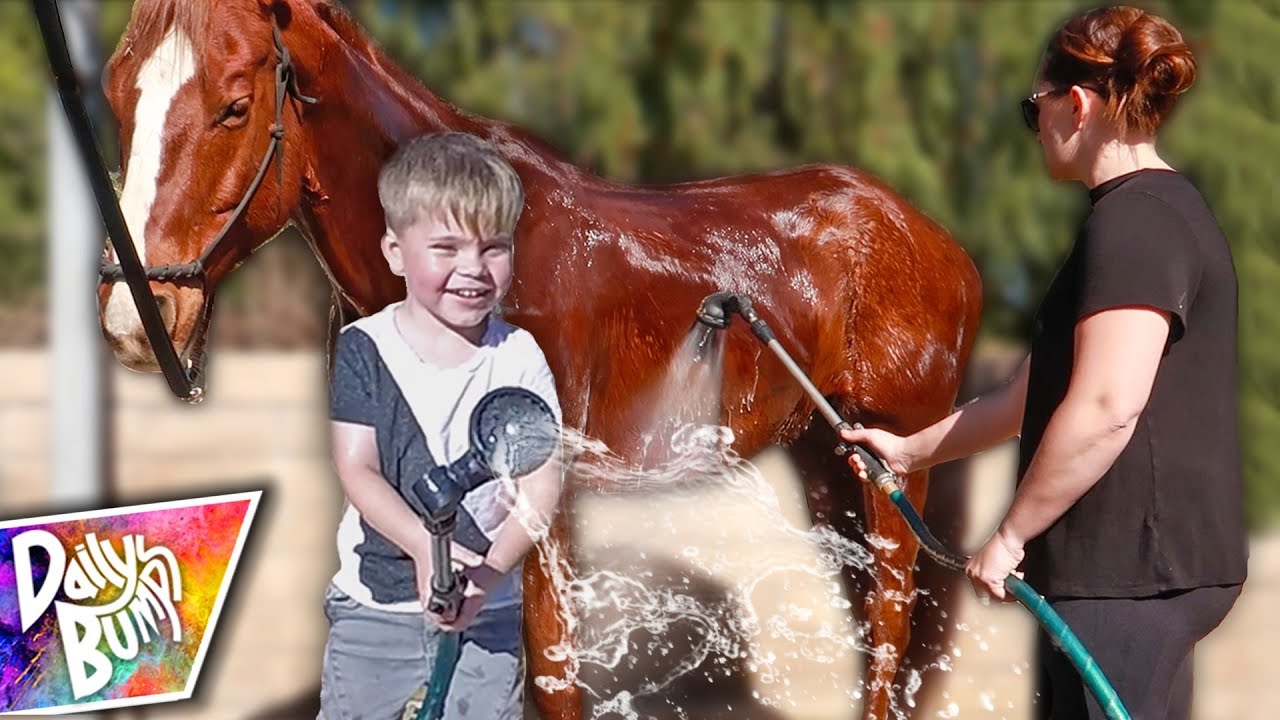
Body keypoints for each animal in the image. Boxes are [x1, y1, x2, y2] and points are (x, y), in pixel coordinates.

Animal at [97, 1, 982, 717]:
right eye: (116, 98)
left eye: (235, 105)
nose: (136, 319)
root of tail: (937, 243)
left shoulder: (542, 507)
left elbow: (554, 680)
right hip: (831, 459)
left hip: (891, 467)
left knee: (890, 627)